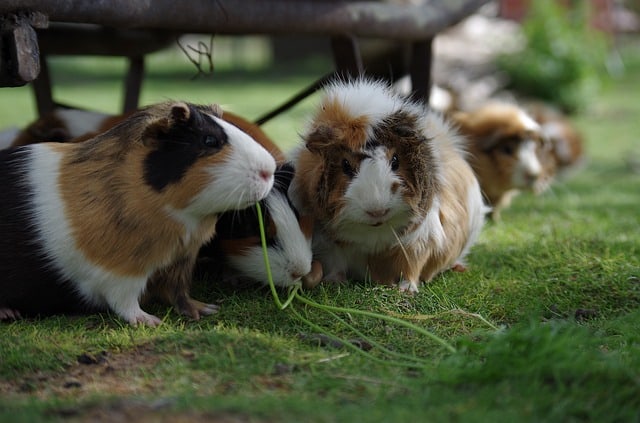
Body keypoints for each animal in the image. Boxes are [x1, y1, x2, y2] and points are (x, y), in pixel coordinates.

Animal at [0, 101, 276, 325]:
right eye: (209, 141)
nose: (269, 171)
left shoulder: (180, 261)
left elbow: (178, 293)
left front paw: (205, 310)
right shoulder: (119, 271)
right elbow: (125, 301)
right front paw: (150, 321)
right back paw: (8, 313)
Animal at [289, 78, 488, 293]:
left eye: (395, 160)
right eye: (345, 165)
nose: (377, 211)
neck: (374, 235)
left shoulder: (419, 242)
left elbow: (410, 268)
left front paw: (406, 290)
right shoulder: (330, 247)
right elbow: (337, 266)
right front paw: (332, 282)